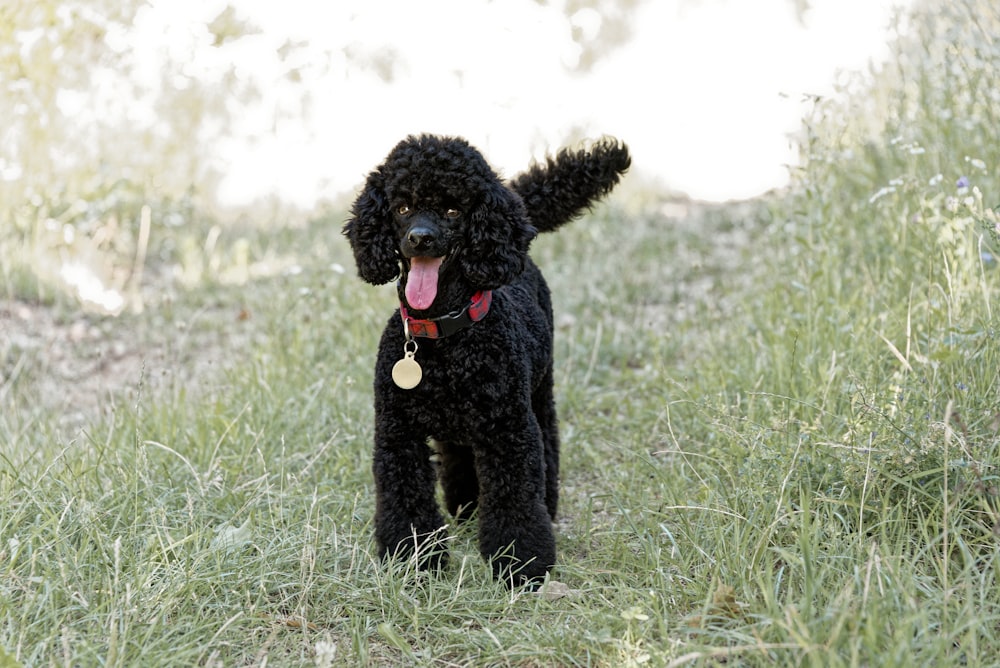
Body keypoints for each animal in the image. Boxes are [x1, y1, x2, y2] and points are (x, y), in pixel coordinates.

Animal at [342, 134, 624, 584]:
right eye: (402, 208)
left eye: (453, 209)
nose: (420, 238)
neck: (444, 335)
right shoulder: (397, 432)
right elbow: (406, 498)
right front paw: (415, 563)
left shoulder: (509, 430)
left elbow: (515, 498)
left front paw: (520, 565)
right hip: (456, 427)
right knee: (458, 457)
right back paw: (466, 507)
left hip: (539, 393)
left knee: (548, 443)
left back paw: (547, 503)